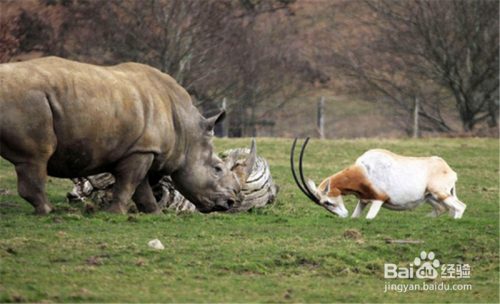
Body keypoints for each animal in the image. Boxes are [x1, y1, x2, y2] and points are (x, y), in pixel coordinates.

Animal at [292, 137, 466, 218]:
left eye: (327, 202)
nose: (343, 215)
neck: (363, 172)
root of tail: (448, 169)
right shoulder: (363, 201)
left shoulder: (378, 200)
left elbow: (369, 218)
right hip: (429, 197)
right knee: (443, 208)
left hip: (440, 193)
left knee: (459, 207)